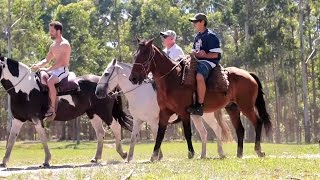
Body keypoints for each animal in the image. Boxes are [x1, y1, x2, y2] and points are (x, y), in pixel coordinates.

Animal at [0, 55, 132, 167]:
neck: (23, 88)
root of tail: (106, 85)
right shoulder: (18, 119)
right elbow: (11, 139)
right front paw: (4, 162)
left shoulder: (36, 119)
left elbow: (43, 138)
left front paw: (47, 160)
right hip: (93, 114)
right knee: (100, 133)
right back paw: (96, 158)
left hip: (104, 112)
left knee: (116, 127)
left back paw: (122, 153)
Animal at [129, 39, 272, 160]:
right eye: (136, 54)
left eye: (145, 55)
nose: (133, 78)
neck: (173, 79)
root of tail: (249, 74)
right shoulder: (164, 113)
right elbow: (159, 134)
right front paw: (153, 156)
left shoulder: (184, 112)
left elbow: (187, 132)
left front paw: (191, 153)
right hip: (233, 108)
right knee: (240, 129)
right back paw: (239, 154)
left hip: (246, 106)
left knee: (257, 122)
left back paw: (258, 150)